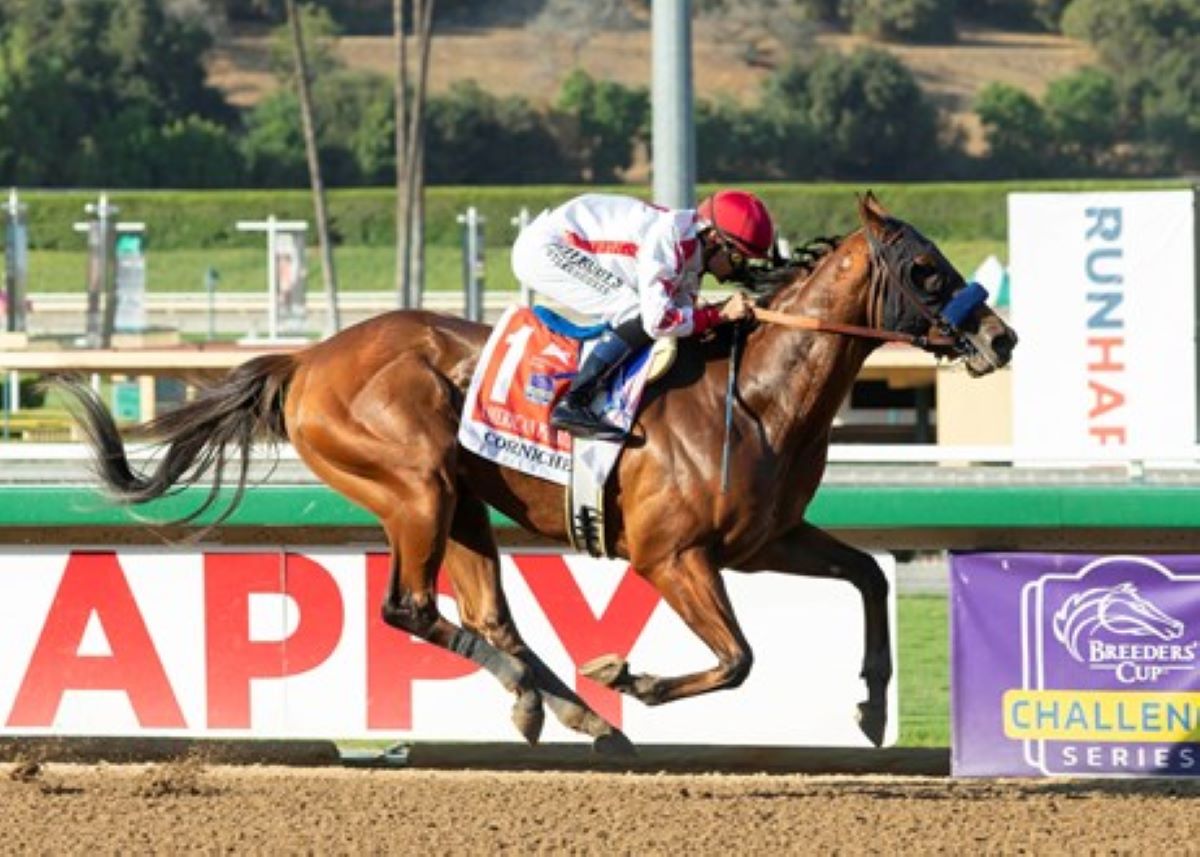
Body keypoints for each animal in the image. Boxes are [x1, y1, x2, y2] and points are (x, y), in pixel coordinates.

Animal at [56, 190, 1012, 748]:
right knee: (410, 607)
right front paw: (630, 676)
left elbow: (869, 577)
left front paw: (874, 705)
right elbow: (738, 657)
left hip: (463, 500)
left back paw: (564, 709)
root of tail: (310, 357)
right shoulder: (672, 556)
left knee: (491, 616)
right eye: (926, 270)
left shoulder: (765, 540)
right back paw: (562, 700)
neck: (756, 396)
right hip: (415, 486)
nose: (1002, 337)